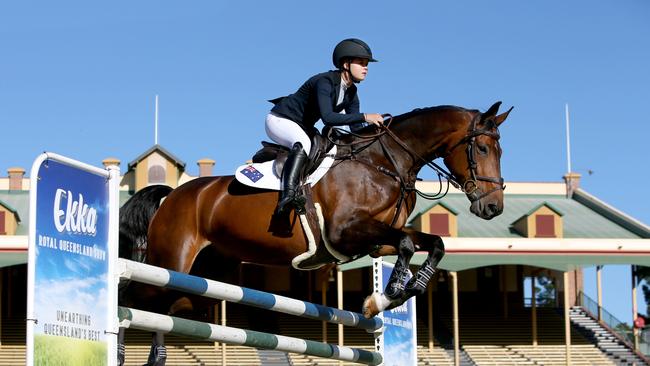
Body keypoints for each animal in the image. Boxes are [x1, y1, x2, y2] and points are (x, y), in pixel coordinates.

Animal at [116, 101, 512, 366]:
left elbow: (431, 243)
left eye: (500, 149)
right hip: (170, 262)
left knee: (166, 309)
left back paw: (156, 355)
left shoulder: (372, 242)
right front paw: (386, 296)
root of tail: (171, 195)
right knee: (132, 295)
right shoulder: (346, 231)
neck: (384, 163)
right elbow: (405, 244)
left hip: (206, 281)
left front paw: (392, 294)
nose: (493, 207)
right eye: (482, 147)